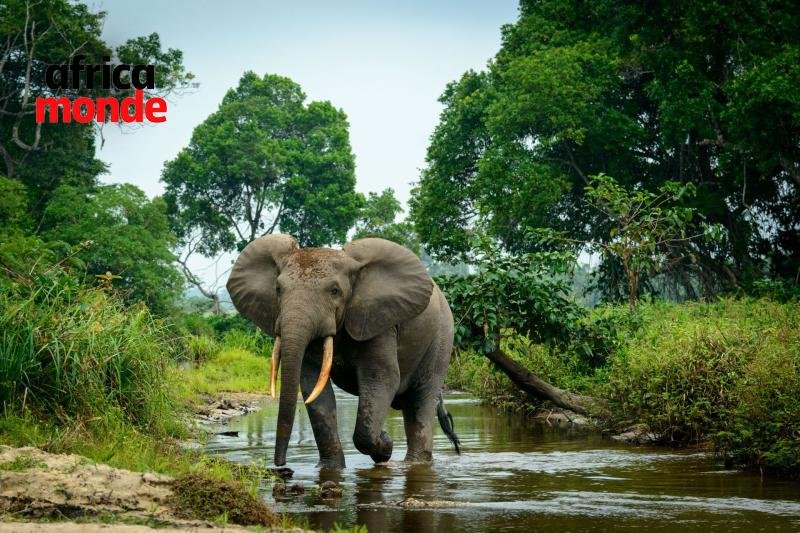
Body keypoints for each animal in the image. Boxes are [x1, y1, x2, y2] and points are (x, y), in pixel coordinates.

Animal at [226, 234, 461, 468]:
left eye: (335, 291)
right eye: (277, 290)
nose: (280, 465)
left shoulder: (378, 321)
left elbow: (382, 378)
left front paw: (385, 445)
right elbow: (313, 386)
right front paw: (330, 468)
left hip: (442, 339)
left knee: (421, 400)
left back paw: (415, 464)